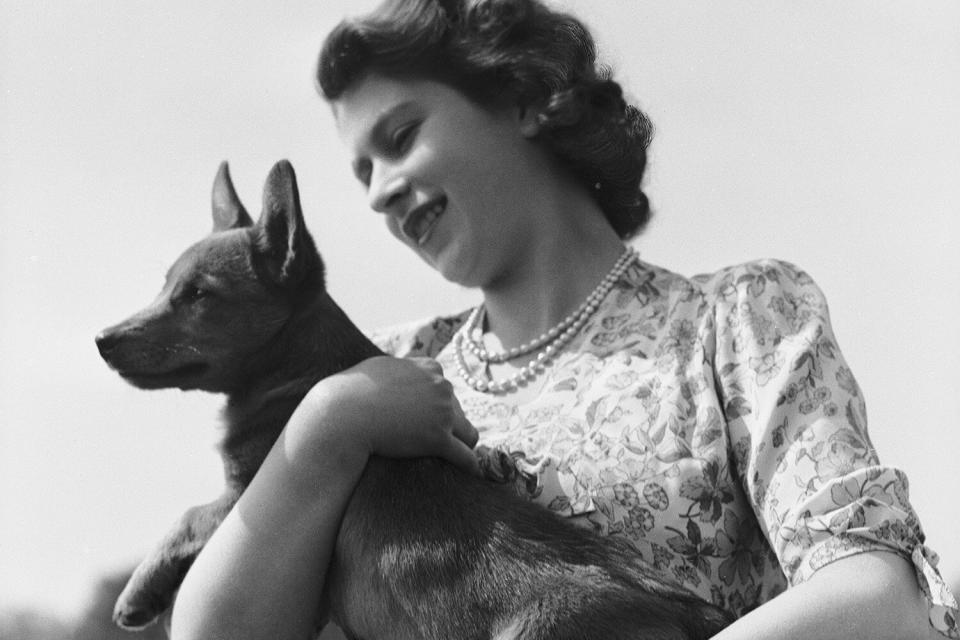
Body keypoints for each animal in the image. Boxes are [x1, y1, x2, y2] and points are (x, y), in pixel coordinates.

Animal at [97, 161, 732, 640]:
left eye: (197, 295)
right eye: (164, 287)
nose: (102, 340)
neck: (298, 370)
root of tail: (687, 611)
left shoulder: (244, 490)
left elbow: (190, 512)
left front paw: (138, 591)